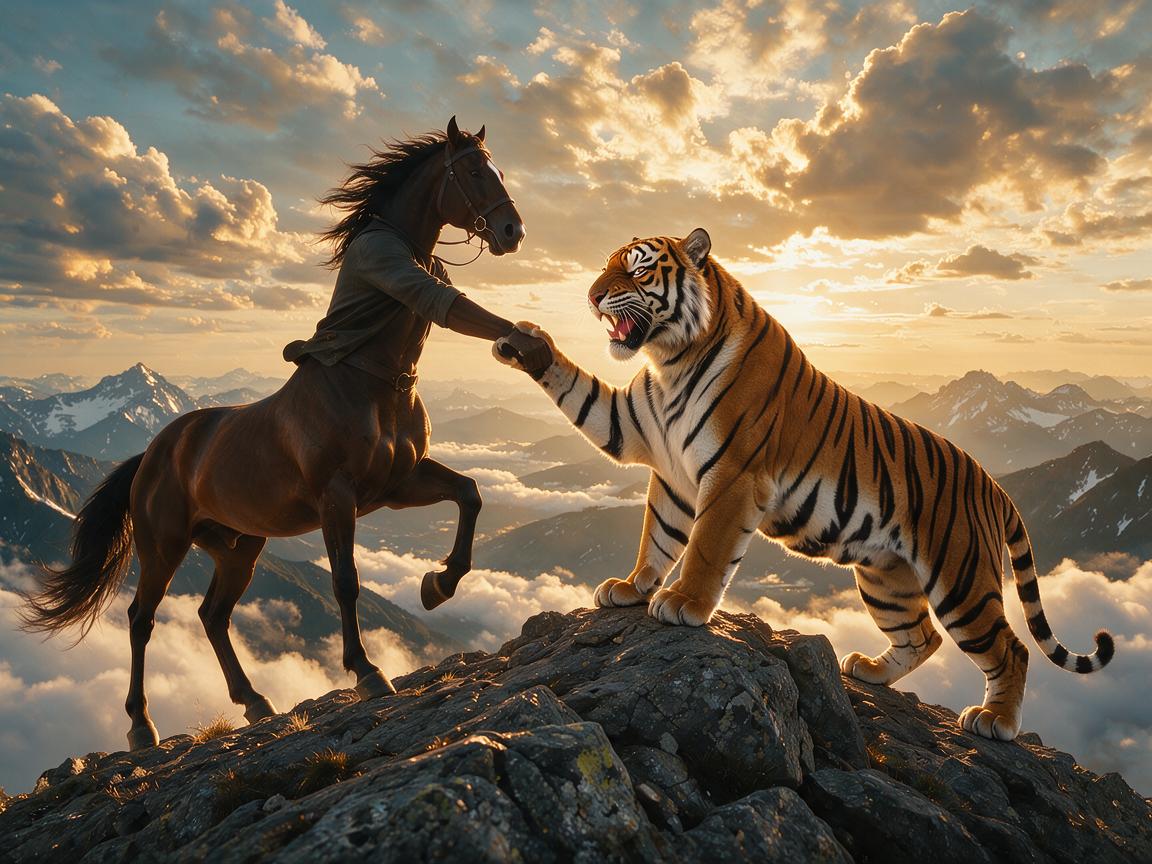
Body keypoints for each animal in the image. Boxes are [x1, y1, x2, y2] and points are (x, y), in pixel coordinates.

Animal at [21, 117, 525, 751]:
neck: (371, 378)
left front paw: (438, 584)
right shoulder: (339, 497)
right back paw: (141, 725)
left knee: (212, 614)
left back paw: (254, 701)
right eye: (476, 170)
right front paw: (367, 671)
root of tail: (154, 452)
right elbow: (346, 582)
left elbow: (469, 493)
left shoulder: (398, 483)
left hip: (238, 544)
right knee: (142, 618)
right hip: (163, 544)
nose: (512, 230)